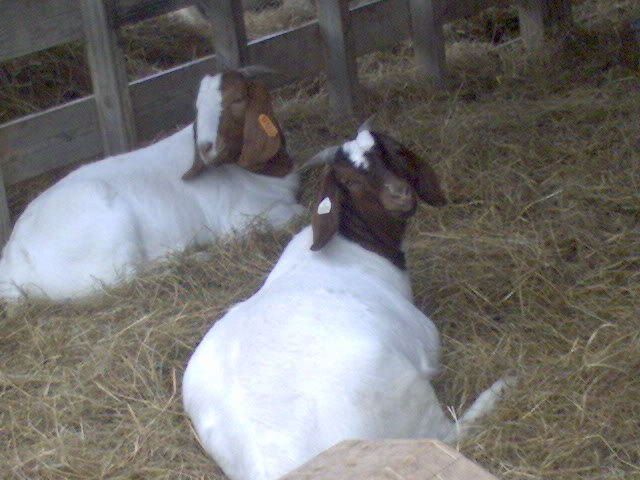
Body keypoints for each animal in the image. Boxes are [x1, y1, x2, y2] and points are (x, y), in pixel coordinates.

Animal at [0, 68, 303, 301]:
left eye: (237, 99)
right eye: (198, 107)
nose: (205, 147)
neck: (266, 173)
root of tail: (14, 260)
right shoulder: (240, 219)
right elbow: (295, 212)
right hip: (106, 240)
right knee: (126, 278)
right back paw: (193, 259)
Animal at [182, 127, 510, 480]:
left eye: (392, 153)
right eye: (349, 181)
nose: (400, 195)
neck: (354, 243)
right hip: (405, 399)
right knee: (447, 435)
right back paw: (499, 390)